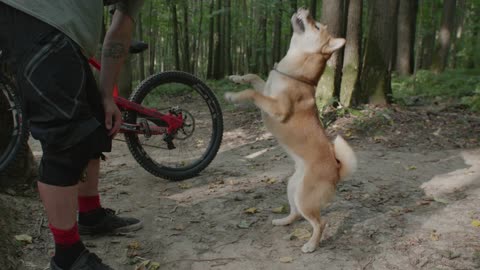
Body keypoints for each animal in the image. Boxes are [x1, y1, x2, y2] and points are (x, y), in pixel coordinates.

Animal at [225, 8, 356, 253]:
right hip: (292, 188)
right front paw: (236, 77)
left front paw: (233, 96)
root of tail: (337, 170)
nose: (305, 8)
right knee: (296, 214)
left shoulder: (277, 107)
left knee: (320, 222)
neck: (294, 72)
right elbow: (253, 77)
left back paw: (311, 245)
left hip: (305, 198)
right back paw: (283, 221)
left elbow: (251, 93)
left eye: (316, 25)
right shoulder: (266, 88)